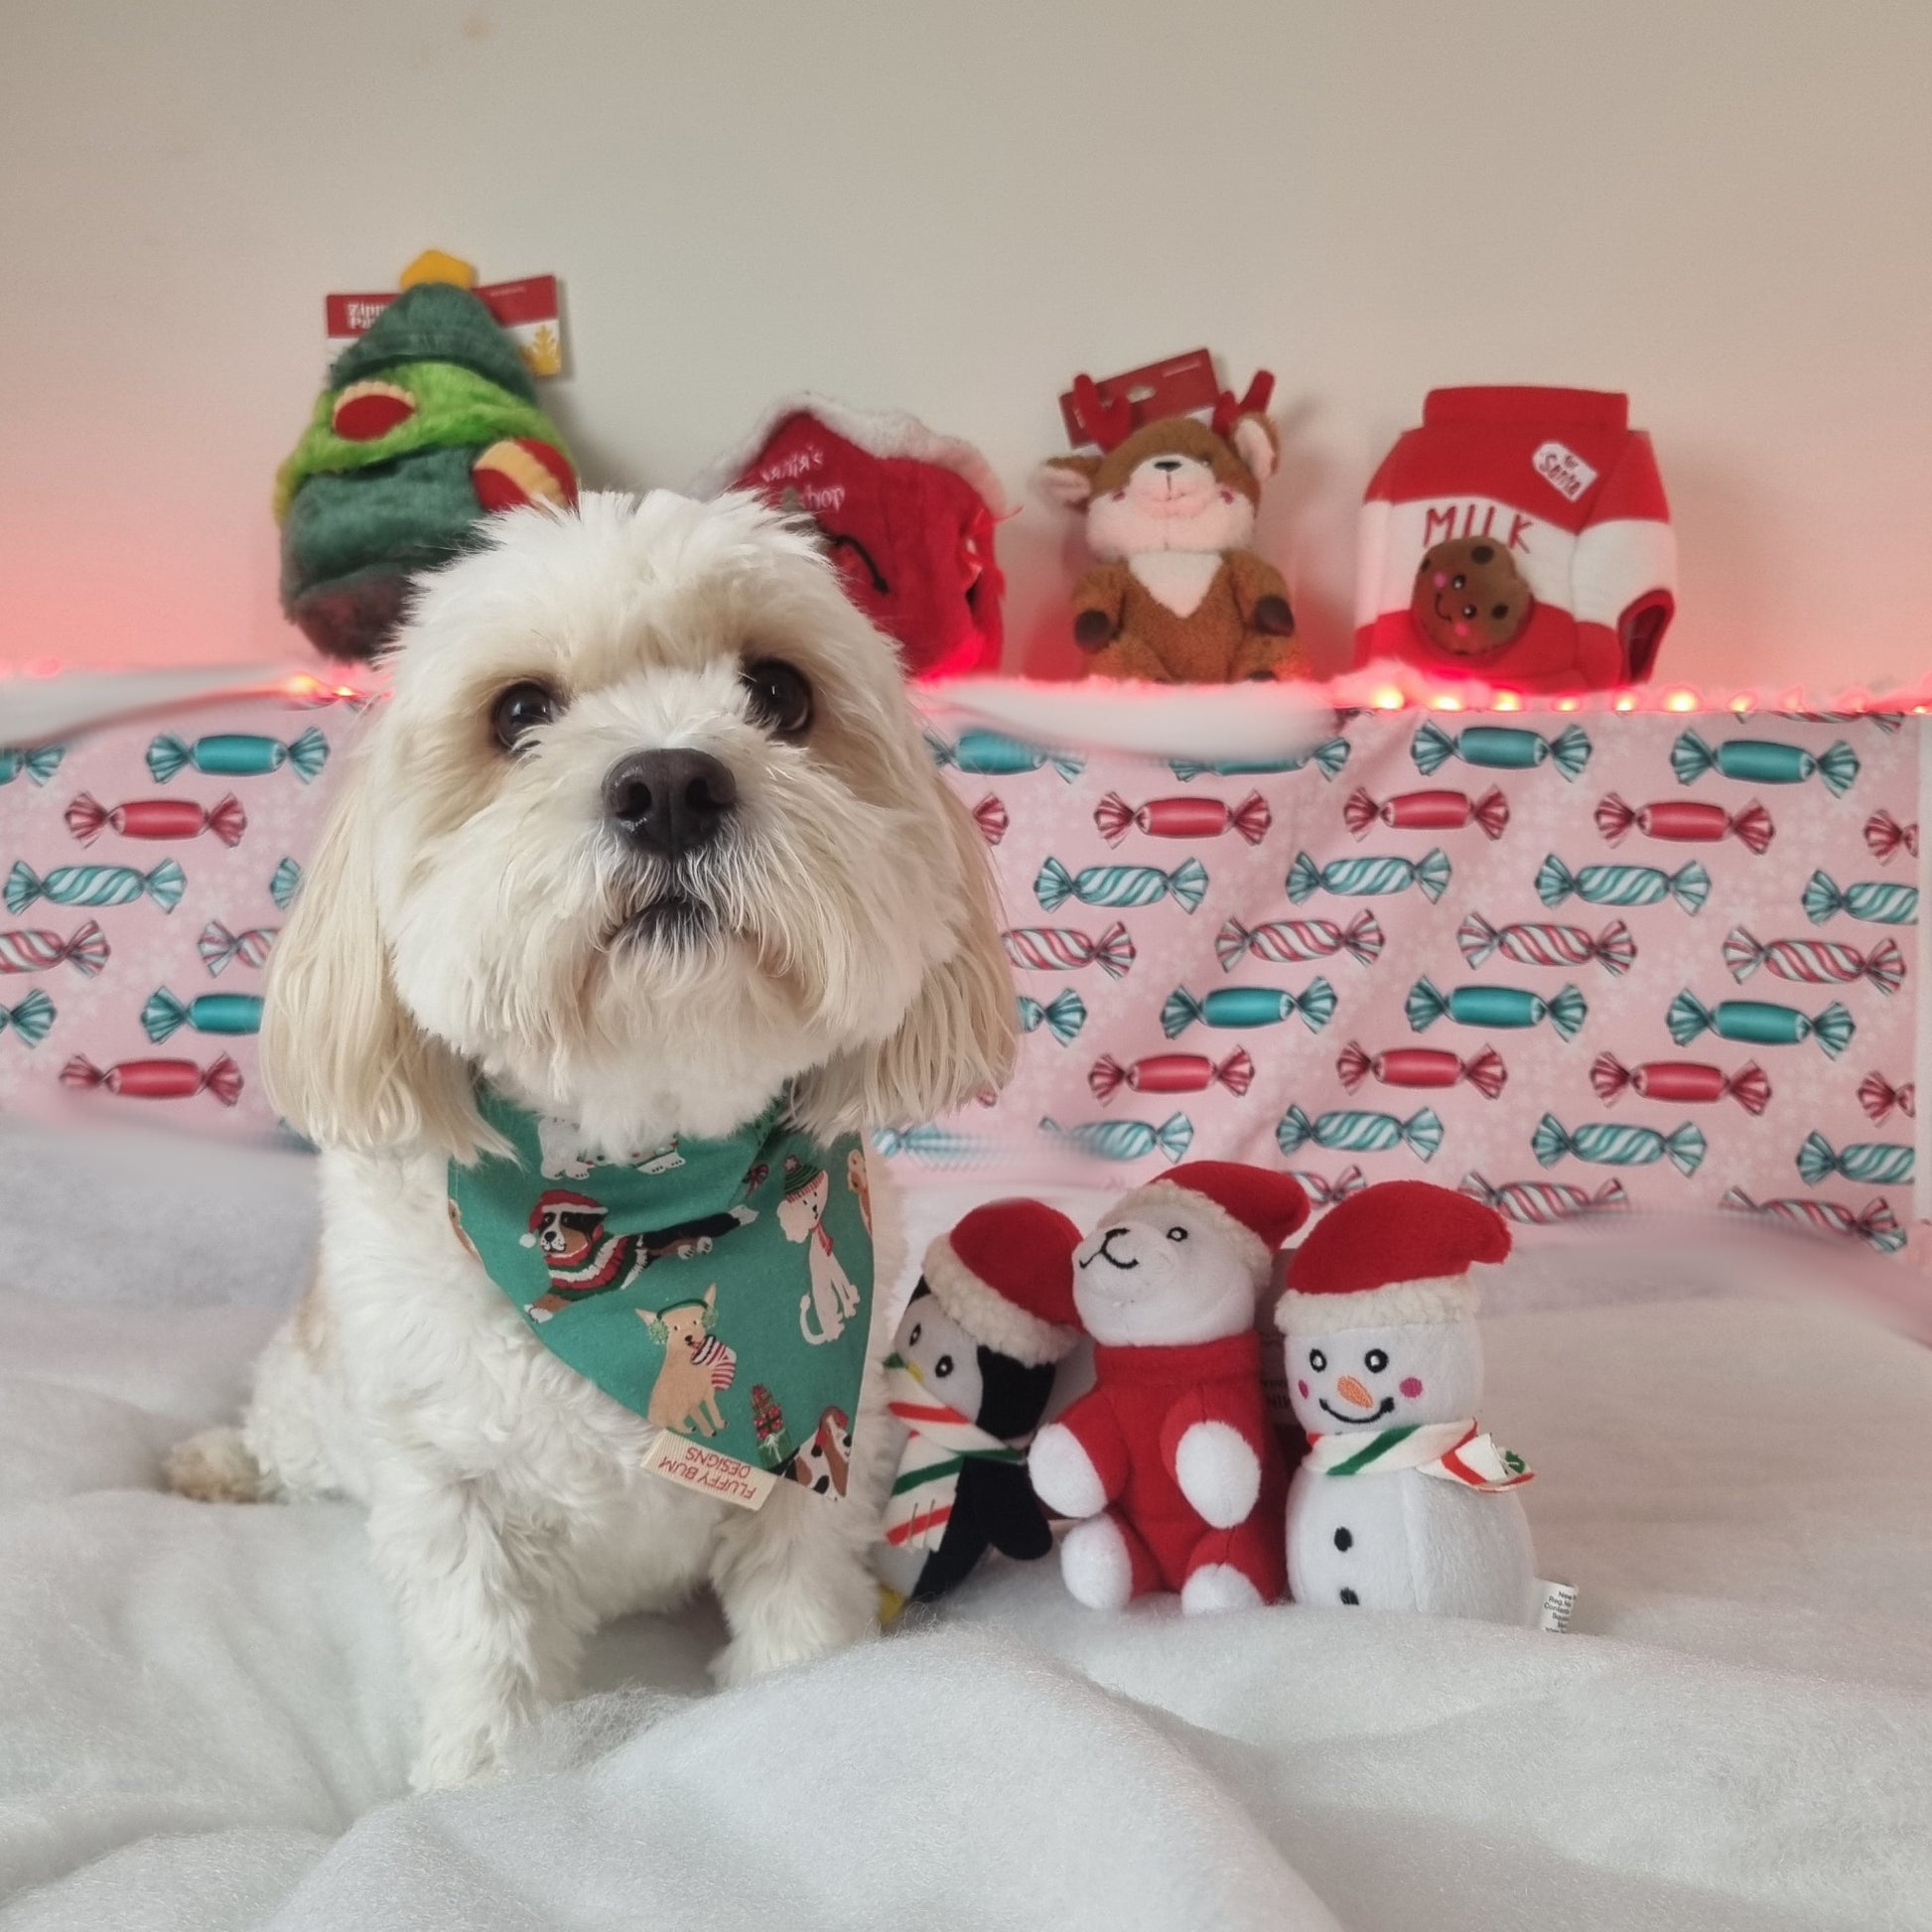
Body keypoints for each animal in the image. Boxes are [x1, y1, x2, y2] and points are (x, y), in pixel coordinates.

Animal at [170, 490, 1012, 1785]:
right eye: (518, 711)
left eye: (778, 691)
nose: (668, 782)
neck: (647, 1186)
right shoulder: (446, 1483)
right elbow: (483, 1651)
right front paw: (480, 1785)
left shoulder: (821, 1455)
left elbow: (798, 1611)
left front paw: (807, 1722)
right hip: (314, 1401)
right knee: (281, 1436)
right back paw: (219, 1462)